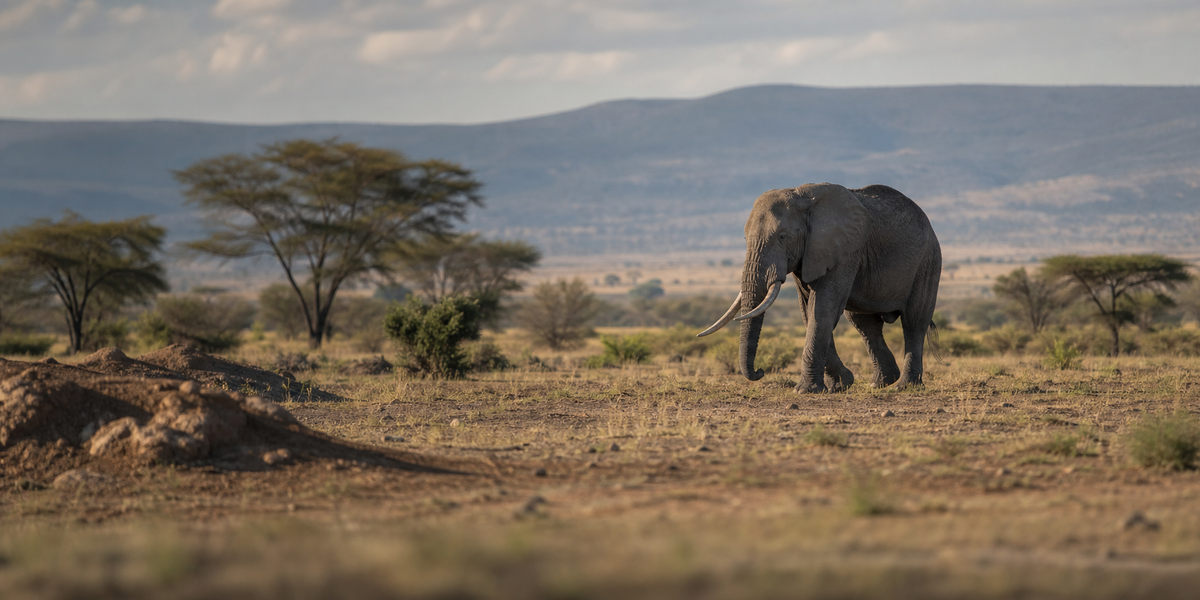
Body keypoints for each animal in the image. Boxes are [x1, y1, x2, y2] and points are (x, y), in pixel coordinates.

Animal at [697, 183, 941, 393]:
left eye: (783, 237)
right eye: (745, 238)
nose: (760, 371)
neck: (802, 198)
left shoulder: (844, 251)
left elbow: (822, 309)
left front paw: (805, 391)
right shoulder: (809, 254)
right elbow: (809, 311)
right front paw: (840, 385)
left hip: (927, 262)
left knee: (914, 321)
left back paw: (904, 386)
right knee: (865, 325)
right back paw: (880, 383)